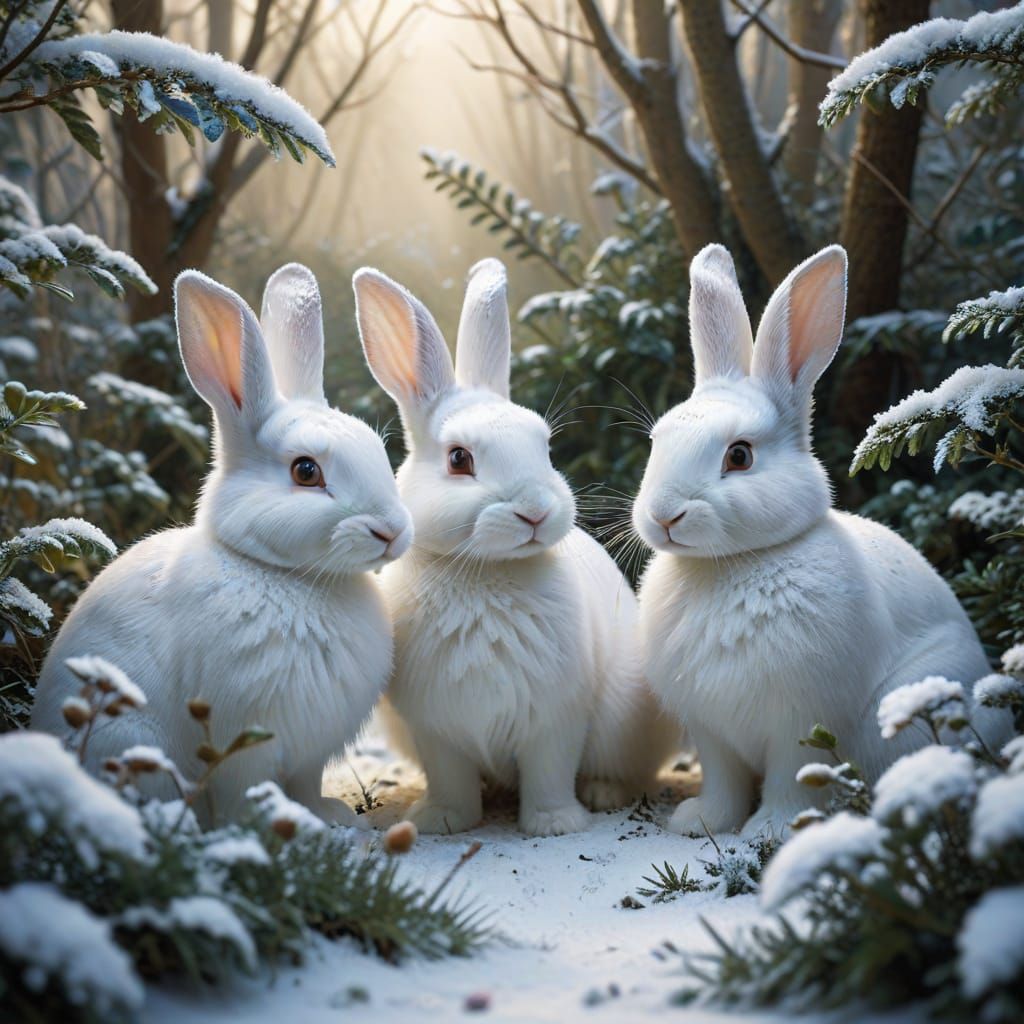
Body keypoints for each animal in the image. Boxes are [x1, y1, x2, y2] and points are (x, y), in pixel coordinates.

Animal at [32, 264, 413, 826]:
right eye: (306, 471)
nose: (392, 531)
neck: (283, 573)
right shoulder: (247, 737)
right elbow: (246, 790)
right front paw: (279, 825)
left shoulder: (308, 754)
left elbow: (305, 785)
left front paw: (329, 817)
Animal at [353, 258, 679, 837]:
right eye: (459, 459)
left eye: (544, 445)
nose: (535, 511)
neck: (485, 572)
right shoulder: (436, 730)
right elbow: (450, 778)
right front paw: (443, 820)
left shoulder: (555, 720)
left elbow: (550, 771)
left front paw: (555, 824)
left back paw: (601, 794)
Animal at [634, 243, 1004, 840]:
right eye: (657, 441)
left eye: (739, 455)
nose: (664, 515)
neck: (732, 563)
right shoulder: (710, 733)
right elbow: (723, 780)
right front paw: (701, 822)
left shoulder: (800, 720)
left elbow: (795, 777)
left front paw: (773, 831)